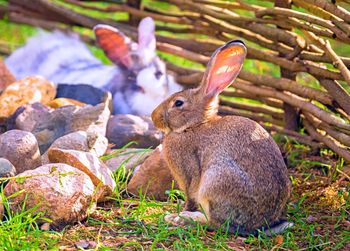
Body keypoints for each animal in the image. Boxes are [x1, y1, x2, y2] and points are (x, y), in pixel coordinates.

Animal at [152, 39, 292, 235]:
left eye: (178, 103)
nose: (153, 117)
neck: (194, 126)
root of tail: (256, 226)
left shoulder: (188, 174)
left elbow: (190, 196)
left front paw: (179, 212)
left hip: (214, 181)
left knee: (215, 223)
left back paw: (183, 219)